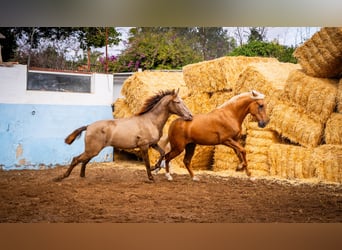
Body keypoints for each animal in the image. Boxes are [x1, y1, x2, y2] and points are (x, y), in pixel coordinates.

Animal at [53, 89, 192, 182]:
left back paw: (82, 176)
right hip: (92, 150)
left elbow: (163, 153)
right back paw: (61, 177)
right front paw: (151, 177)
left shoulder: (153, 144)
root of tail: (88, 126)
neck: (150, 121)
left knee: (83, 160)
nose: (190, 116)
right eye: (178, 102)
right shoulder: (144, 145)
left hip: (93, 151)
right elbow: (147, 162)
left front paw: (155, 168)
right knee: (76, 159)